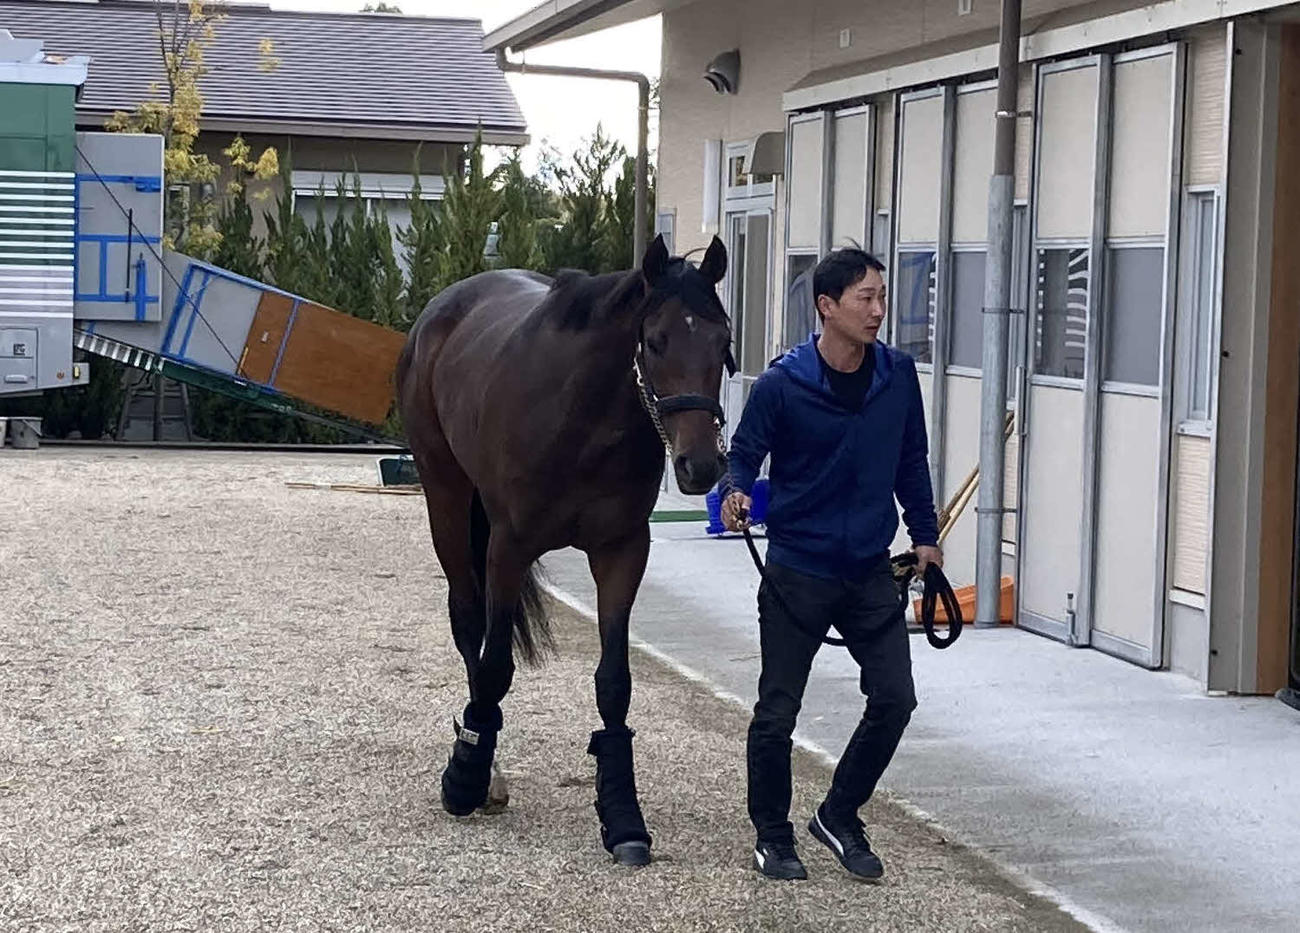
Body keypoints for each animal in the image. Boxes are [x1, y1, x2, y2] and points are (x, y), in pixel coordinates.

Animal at [396, 234, 735, 866]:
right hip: (446, 500)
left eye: (723, 341)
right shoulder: (508, 546)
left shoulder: (622, 552)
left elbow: (614, 683)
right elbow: (494, 667)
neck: (583, 417)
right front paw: (465, 779)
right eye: (656, 341)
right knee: (467, 624)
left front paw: (623, 817)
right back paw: (483, 771)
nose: (700, 466)